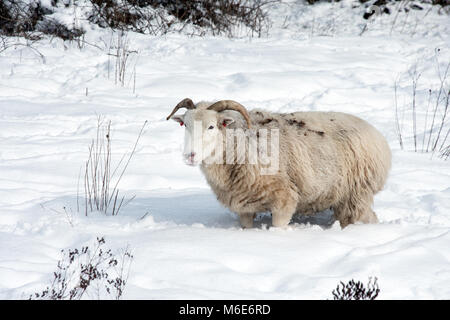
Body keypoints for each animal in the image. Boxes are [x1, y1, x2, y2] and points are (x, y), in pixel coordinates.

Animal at [165, 97, 390, 228]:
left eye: (212, 126)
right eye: (185, 125)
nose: (190, 155)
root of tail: (378, 136)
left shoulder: (284, 200)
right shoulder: (244, 206)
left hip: (356, 195)